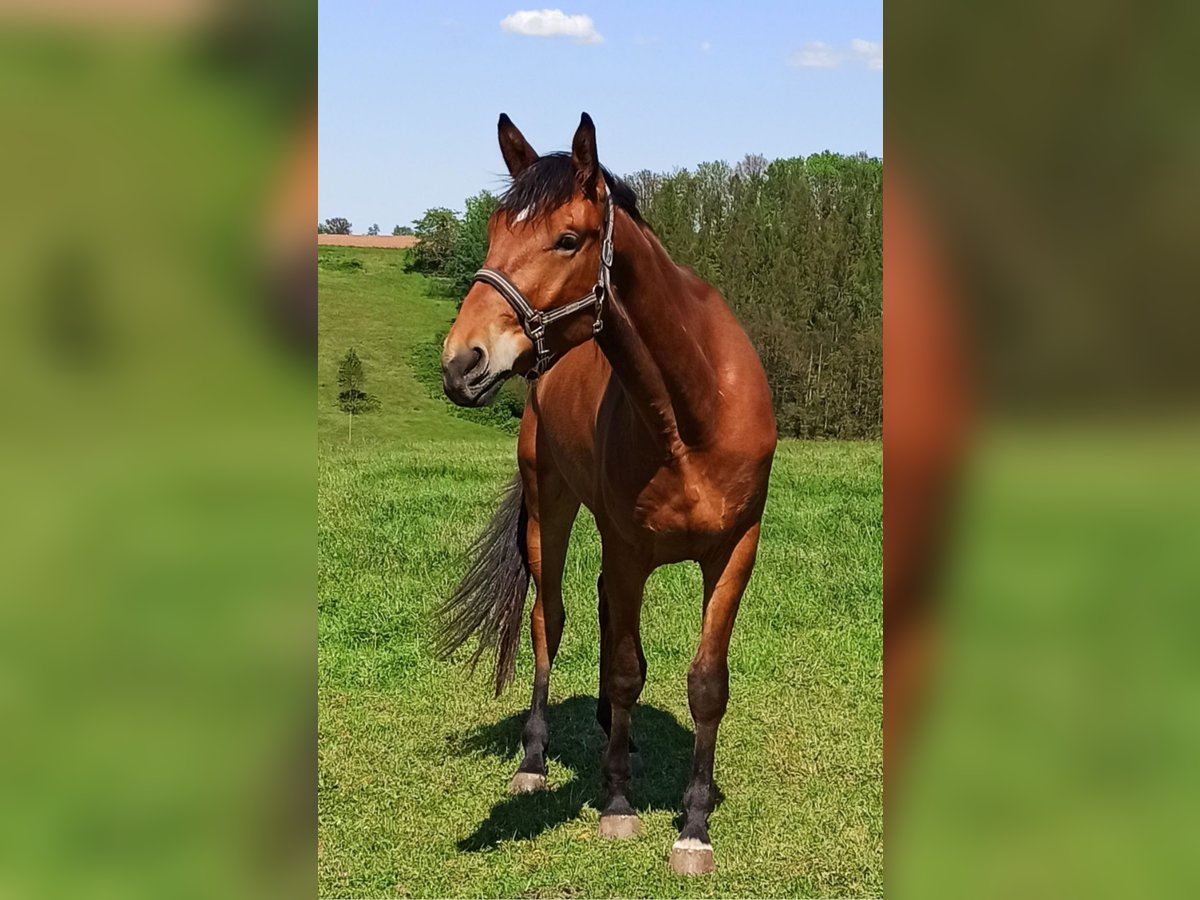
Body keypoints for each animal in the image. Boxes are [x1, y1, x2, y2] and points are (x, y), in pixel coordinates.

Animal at [436, 109, 772, 878]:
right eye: (493, 230)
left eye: (567, 238)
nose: (462, 362)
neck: (693, 412)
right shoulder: (628, 549)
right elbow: (624, 668)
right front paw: (617, 804)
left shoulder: (734, 551)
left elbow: (706, 683)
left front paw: (694, 828)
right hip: (551, 510)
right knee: (548, 620)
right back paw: (536, 758)